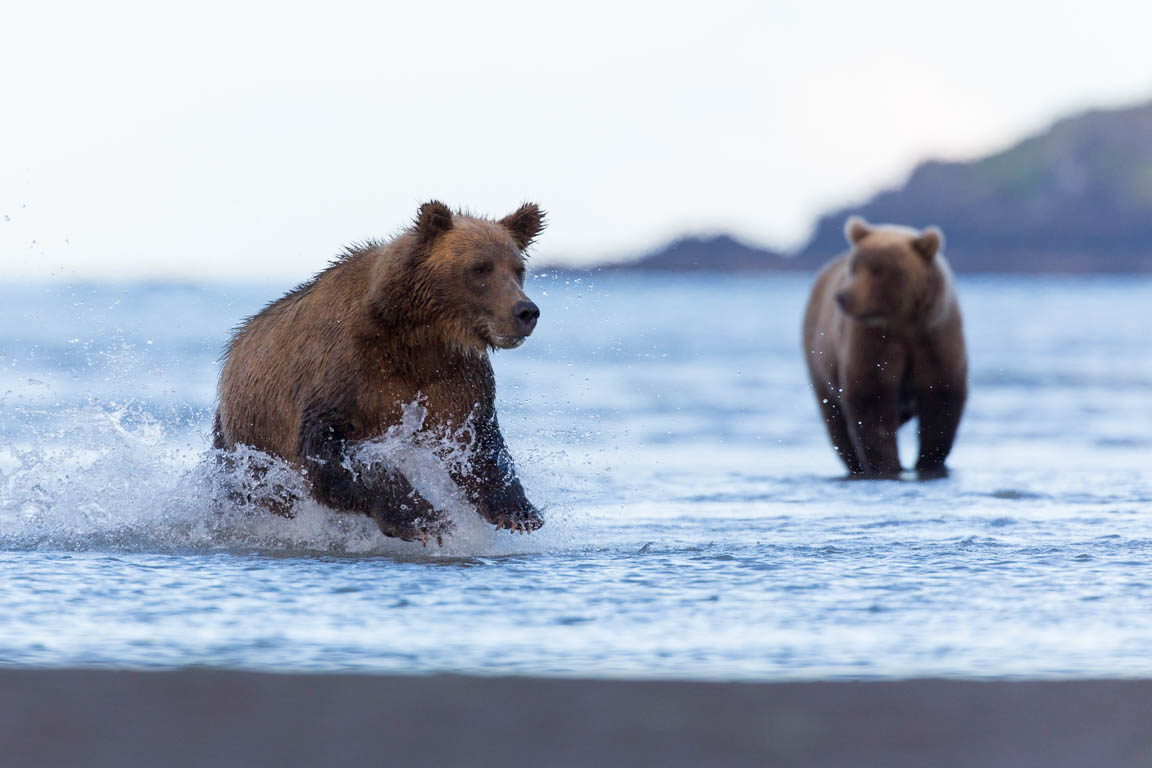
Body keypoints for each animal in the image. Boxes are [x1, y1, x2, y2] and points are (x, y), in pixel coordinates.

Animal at [214, 201, 546, 543]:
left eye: (518, 269)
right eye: (479, 268)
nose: (525, 311)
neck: (416, 337)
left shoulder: (455, 377)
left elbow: (476, 444)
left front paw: (518, 511)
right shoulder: (346, 374)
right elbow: (327, 455)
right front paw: (422, 516)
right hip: (244, 441)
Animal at [806, 216, 967, 476]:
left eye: (879, 270)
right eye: (854, 267)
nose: (843, 296)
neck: (903, 324)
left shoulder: (935, 337)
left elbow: (940, 400)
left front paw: (928, 461)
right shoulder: (872, 342)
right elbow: (872, 402)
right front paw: (888, 464)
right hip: (820, 366)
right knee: (836, 423)